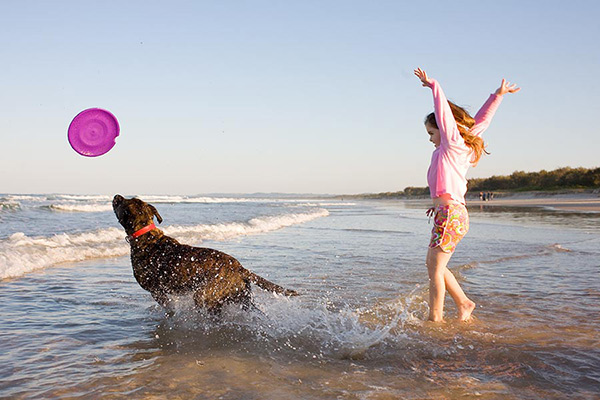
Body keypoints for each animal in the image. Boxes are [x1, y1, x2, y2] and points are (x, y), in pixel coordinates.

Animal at [111, 195, 296, 312]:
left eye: (123, 202)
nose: (116, 195)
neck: (145, 235)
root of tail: (240, 268)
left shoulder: (158, 293)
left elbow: (169, 308)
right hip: (241, 298)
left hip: (204, 295)